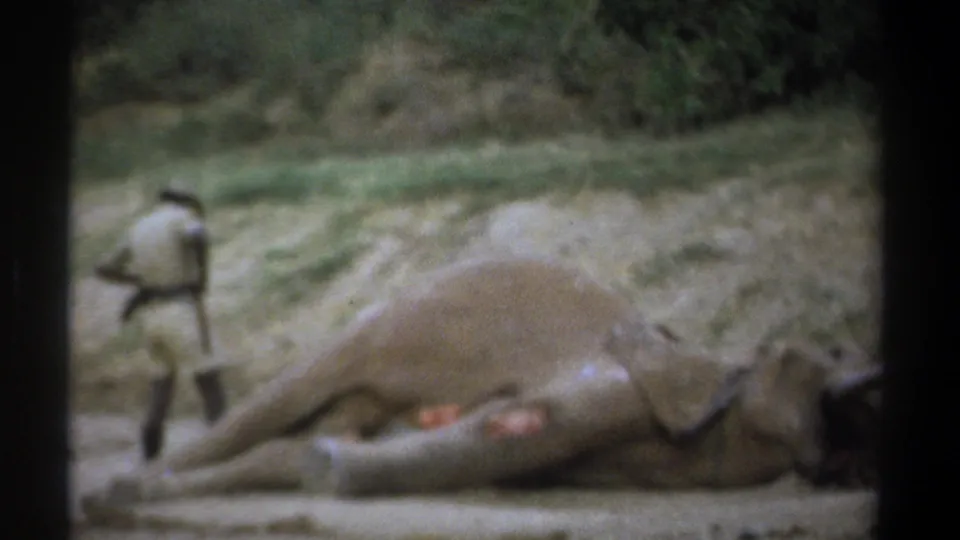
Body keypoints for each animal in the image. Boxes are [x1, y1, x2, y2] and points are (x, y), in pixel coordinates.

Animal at [81, 257, 880, 507]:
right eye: (825, 352)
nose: (865, 382)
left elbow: (505, 438)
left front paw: (324, 465)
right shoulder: (623, 380)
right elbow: (513, 425)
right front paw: (327, 468)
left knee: (303, 430)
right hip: (404, 315)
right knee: (290, 393)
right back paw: (115, 494)